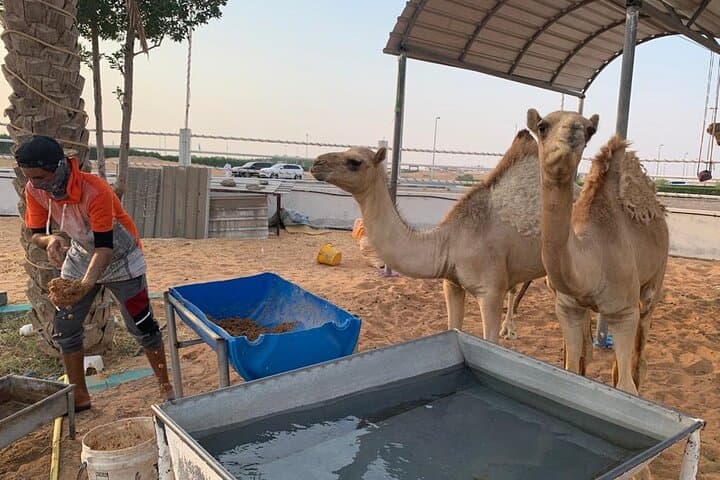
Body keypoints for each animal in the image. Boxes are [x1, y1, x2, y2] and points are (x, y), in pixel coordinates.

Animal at [311, 130, 583, 342]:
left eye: (354, 161)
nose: (316, 163)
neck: (449, 241)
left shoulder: (490, 290)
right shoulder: (451, 283)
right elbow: (453, 327)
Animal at [527, 109, 668, 397]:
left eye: (590, 130)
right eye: (542, 126)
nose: (573, 131)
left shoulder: (624, 312)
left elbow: (626, 386)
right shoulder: (567, 306)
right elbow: (572, 366)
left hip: (655, 279)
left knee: (639, 350)